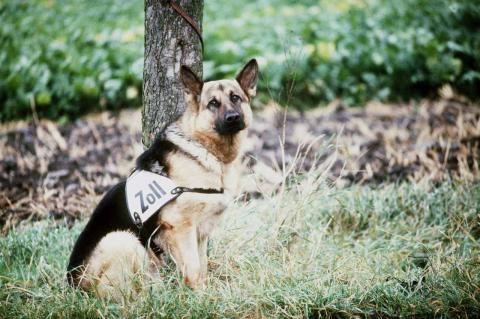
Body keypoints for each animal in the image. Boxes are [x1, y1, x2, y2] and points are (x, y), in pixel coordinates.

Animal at [67, 58, 258, 296]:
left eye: (236, 98)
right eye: (213, 103)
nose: (233, 118)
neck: (205, 151)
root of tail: (74, 284)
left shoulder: (200, 234)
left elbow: (202, 267)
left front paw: (205, 291)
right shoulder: (181, 227)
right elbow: (194, 269)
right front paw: (200, 297)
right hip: (122, 239)